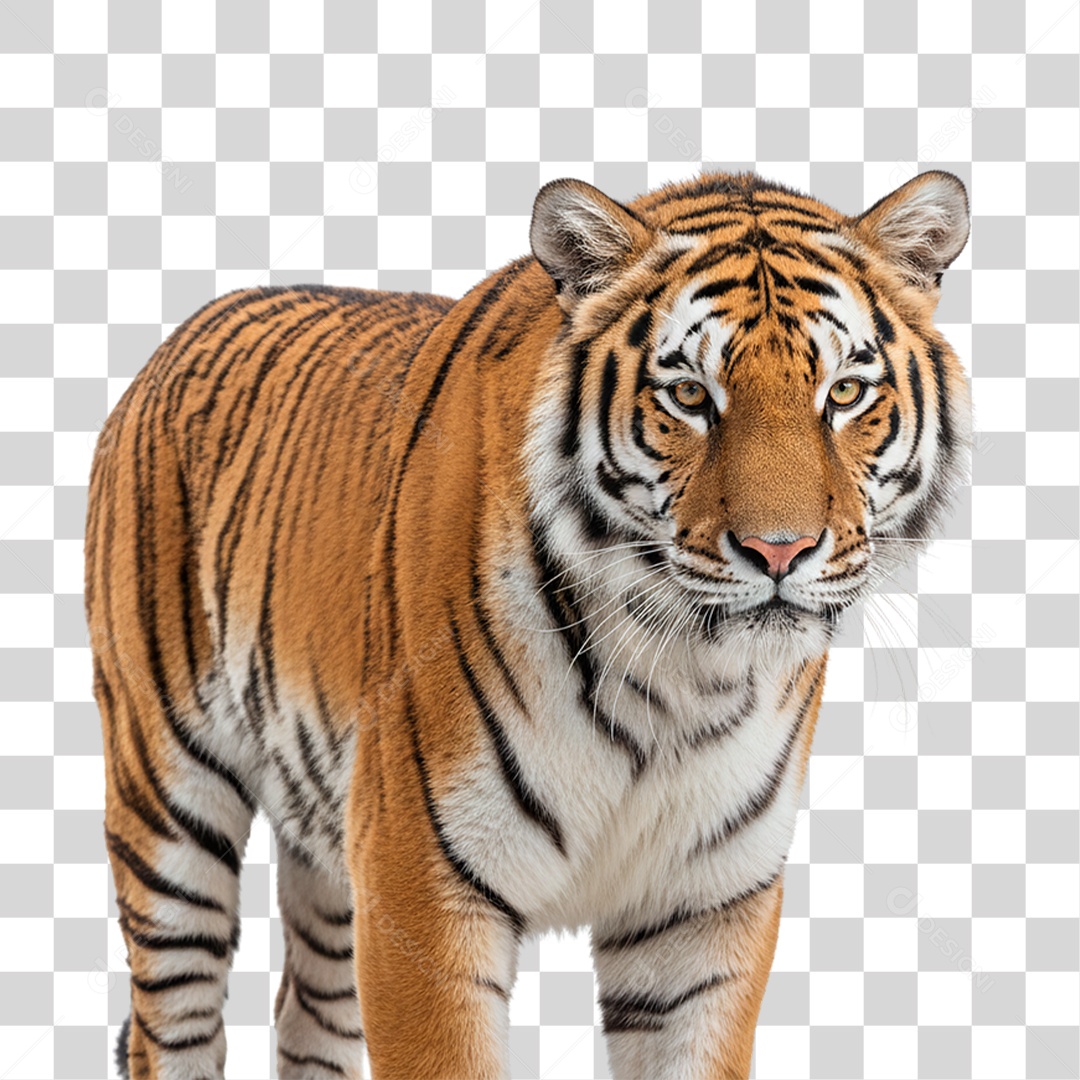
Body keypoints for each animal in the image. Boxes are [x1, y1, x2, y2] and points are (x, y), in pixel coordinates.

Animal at [85, 168, 971, 1080]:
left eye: (845, 393)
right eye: (690, 396)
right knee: (173, 1022)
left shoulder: (702, 911)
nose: (779, 549)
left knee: (308, 1015)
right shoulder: (418, 886)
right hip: (167, 800)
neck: (682, 676)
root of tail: (180, 333)